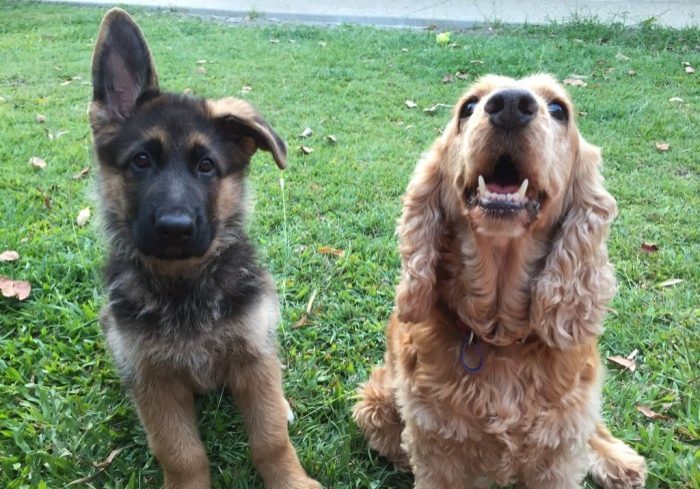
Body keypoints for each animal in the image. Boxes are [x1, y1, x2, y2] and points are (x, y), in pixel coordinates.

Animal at [89, 7, 322, 488]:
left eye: (206, 166)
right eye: (141, 161)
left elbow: (271, 438)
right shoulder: (154, 381)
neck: (186, 285)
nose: (175, 228)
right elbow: (181, 454)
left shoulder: (253, 357)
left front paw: (291, 479)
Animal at [356, 75, 644, 488]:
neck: (500, 337)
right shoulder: (436, 446)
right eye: (468, 107)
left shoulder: (559, 448)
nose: (509, 104)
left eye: (559, 109)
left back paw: (620, 460)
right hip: (375, 402)